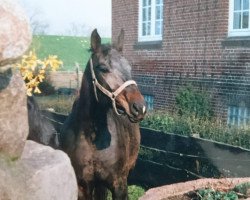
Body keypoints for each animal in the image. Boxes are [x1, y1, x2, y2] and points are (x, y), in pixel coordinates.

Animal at [60, 28, 146, 200]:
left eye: (129, 67)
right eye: (103, 68)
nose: (139, 107)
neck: (91, 138)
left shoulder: (119, 184)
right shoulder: (82, 186)